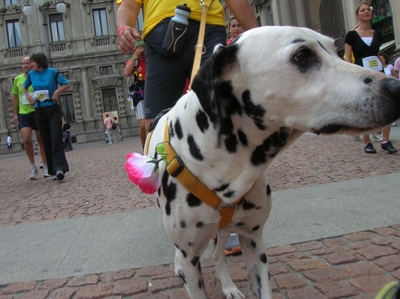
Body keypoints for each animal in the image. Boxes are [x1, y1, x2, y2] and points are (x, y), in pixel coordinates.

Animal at [145, 26, 400, 299]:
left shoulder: (253, 240)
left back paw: (228, 285)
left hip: (226, 230)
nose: (396, 87)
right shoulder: (191, 260)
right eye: (302, 56)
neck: (225, 161)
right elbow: (187, 261)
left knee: (217, 254)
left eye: (335, 49)